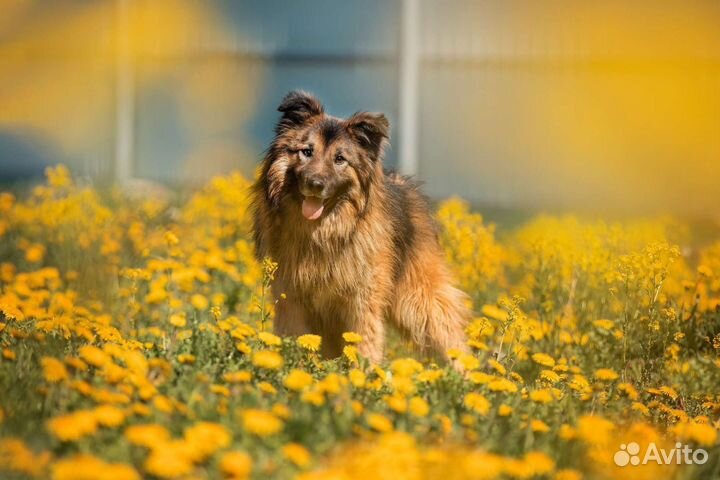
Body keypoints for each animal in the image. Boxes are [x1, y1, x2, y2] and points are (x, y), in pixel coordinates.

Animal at [250, 91, 470, 364]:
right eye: (306, 151)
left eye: (340, 159)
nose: (315, 184)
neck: (322, 232)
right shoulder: (291, 300)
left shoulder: (362, 302)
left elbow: (366, 343)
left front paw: (365, 372)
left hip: (419, 299)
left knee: (450, 336)